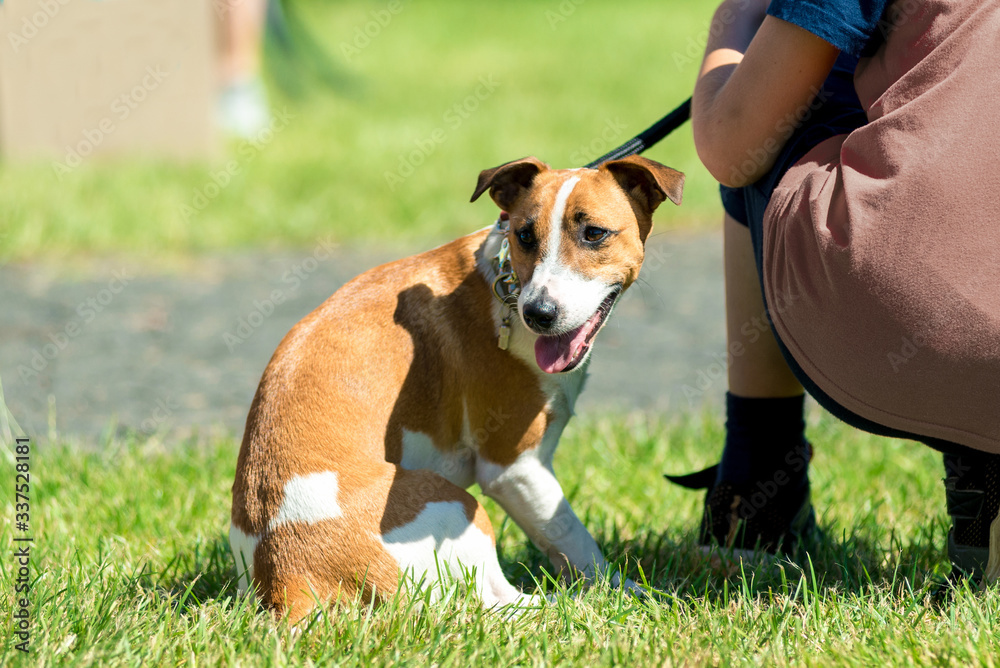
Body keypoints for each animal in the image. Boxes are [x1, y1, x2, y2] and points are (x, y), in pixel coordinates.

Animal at [229, 154, 680, 620]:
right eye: (524, 235)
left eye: (594, 234)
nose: (539, 313)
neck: (505, 284)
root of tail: (288, 579)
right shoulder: (514, 469)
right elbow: (578, 544)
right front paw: (625, 591)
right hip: (457, 506)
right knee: (504, 604)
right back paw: (571, 602)